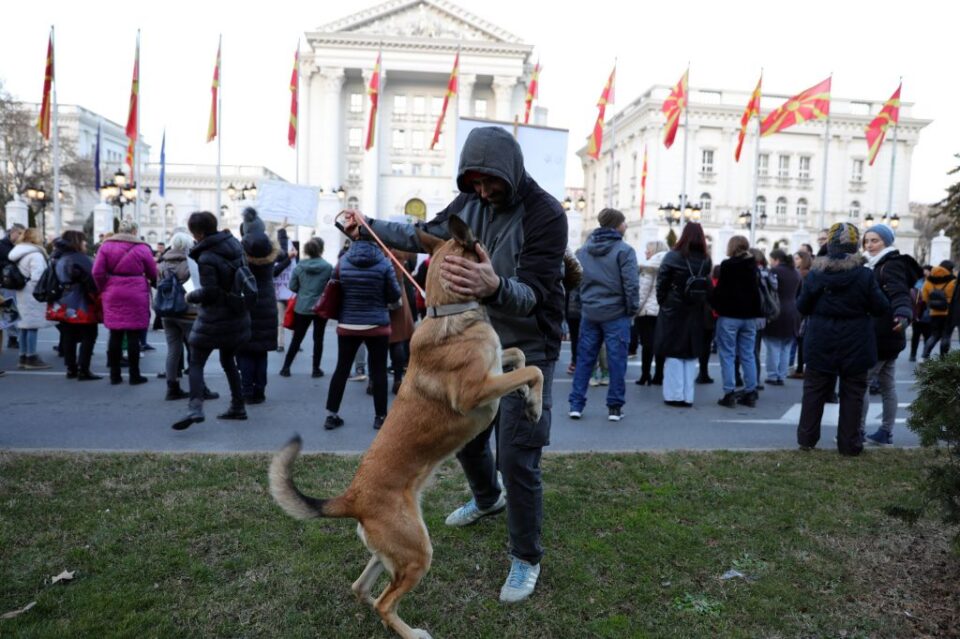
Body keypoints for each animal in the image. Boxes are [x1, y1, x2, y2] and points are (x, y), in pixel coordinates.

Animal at [270, 216, 544, 639]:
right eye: (481, 244)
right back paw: (412, 633)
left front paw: (528, 398)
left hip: (395, 552)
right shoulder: (474, 392)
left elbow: (519, 356)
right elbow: (534, 368)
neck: (450, 311)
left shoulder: (496, 370)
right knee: (385, 603)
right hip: (418, 552)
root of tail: (352, 497)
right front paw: (533, 403)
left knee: (362, 589)